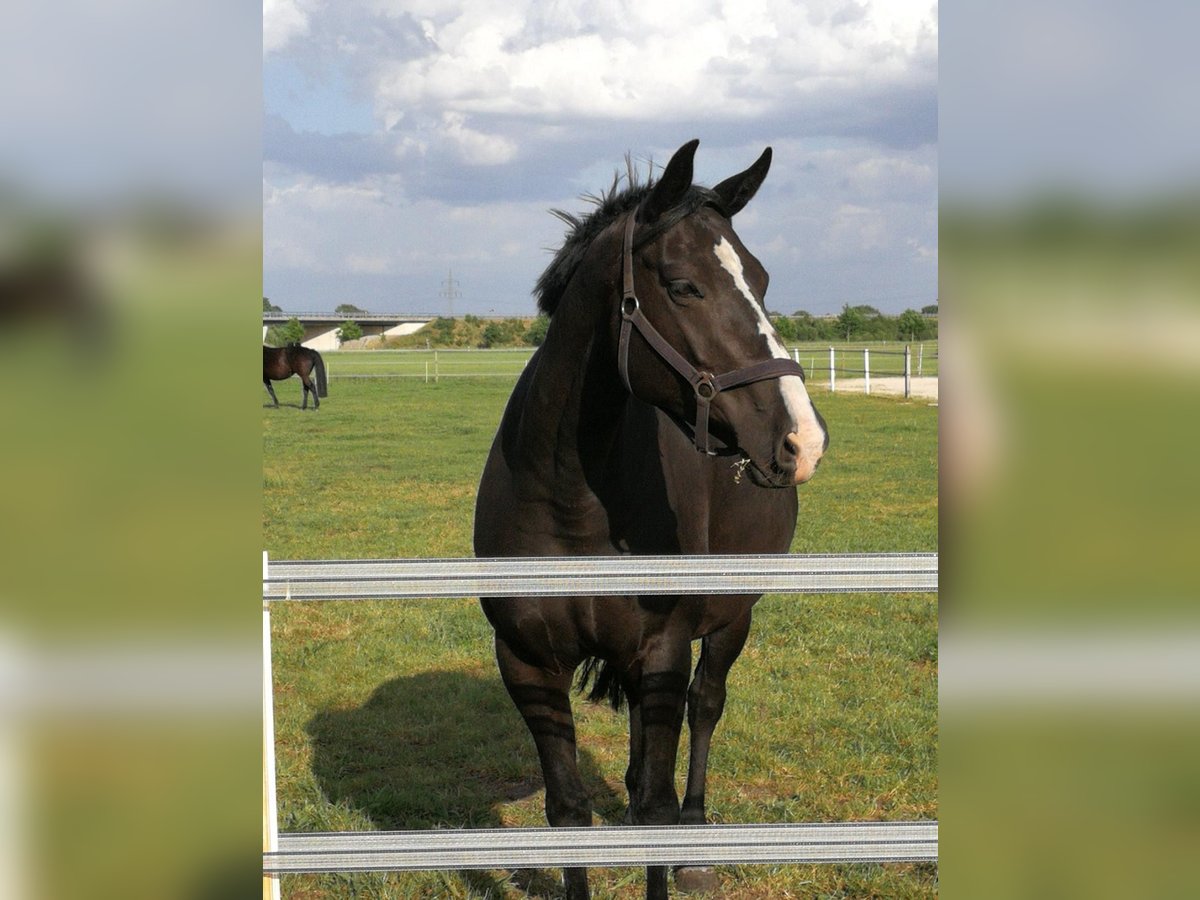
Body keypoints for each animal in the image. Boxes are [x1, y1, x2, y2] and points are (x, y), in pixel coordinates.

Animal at [472, 137, 830, 897]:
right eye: (684, 285)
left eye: (761, 278)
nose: (801, 439)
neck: (569, 496)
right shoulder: (526, 662)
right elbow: (568, 814)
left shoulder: (664, 648)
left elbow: (658, 812)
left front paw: (673, 840)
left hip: (729, 619)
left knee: (705, 707)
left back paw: (697, 846)